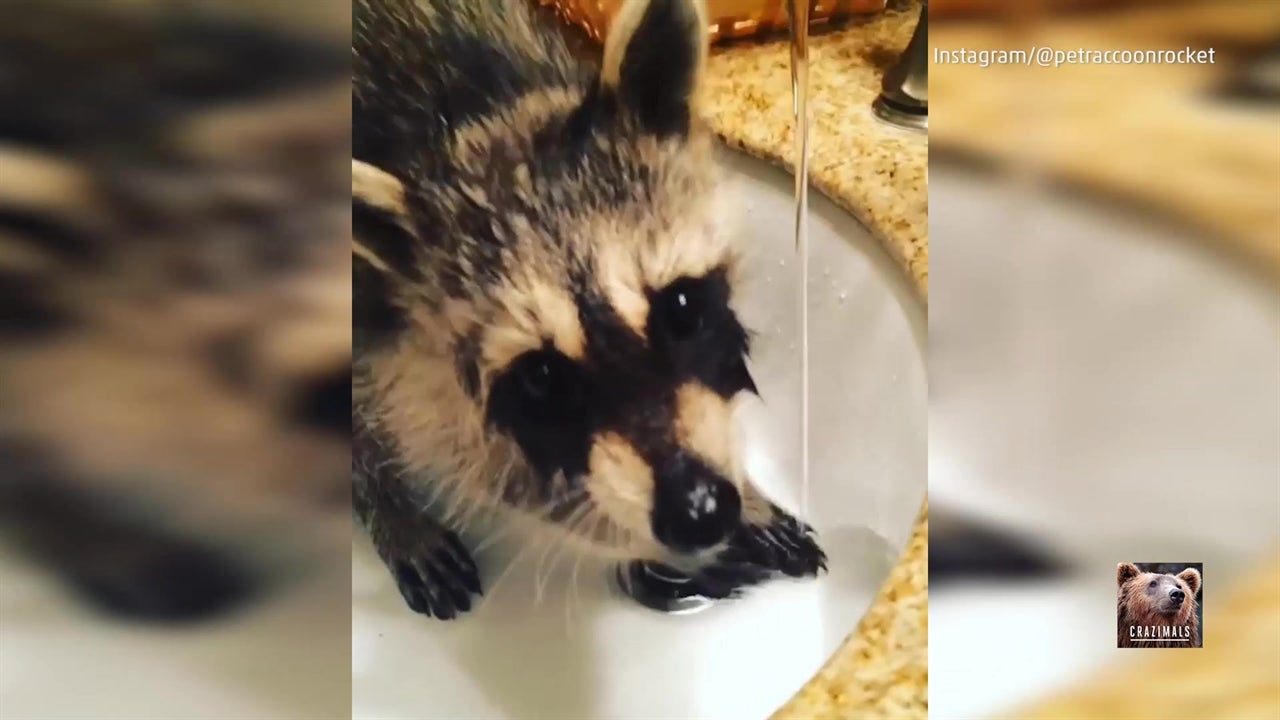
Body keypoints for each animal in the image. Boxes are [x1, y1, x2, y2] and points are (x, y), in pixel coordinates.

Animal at [353, 0, 826, 619]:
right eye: (543, 377)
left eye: (680, 308)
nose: (699, 510)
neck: (480, 112)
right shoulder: (389, 324)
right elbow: (488, 463)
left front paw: (745, 495)